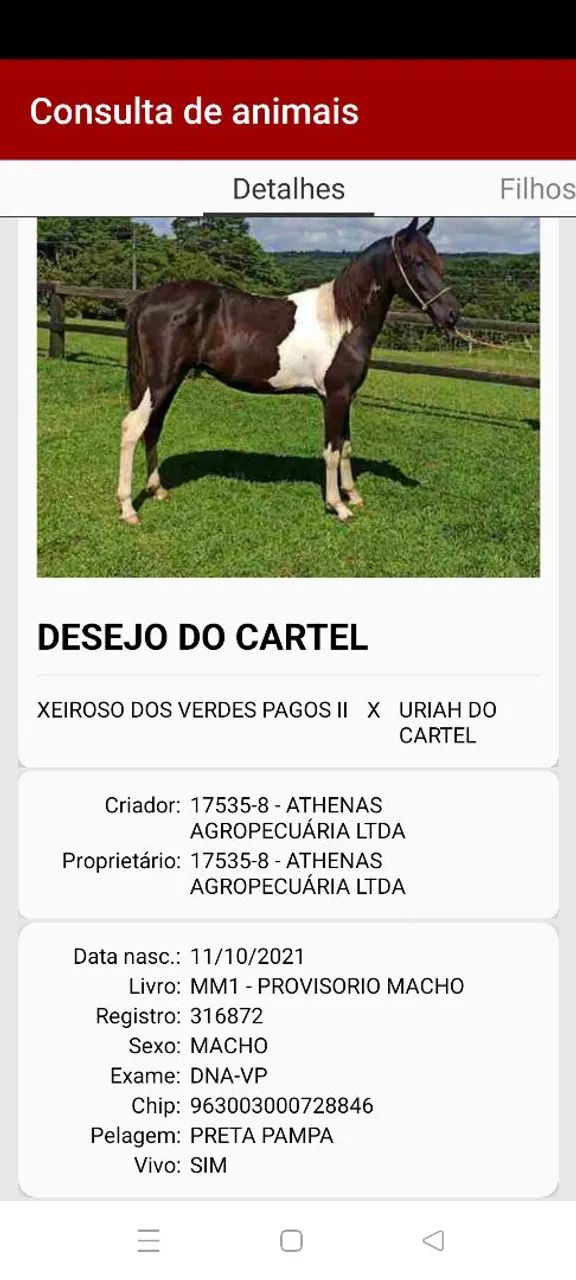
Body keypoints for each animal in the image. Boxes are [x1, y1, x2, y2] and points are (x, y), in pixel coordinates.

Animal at [117, 217, 459, 525]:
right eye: (415, 261)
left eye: (437, 260)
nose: (452, 315)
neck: (341, 321)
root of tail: (146, 298)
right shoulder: (334, 396)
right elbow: (332, 450)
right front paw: (338, 506)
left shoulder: (347, 396)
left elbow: (346, 447)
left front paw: (353, 495)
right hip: (160, 382)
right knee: (133, 427)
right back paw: (128, 508)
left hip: (169, 381)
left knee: (153, 427)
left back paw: (158, 490)